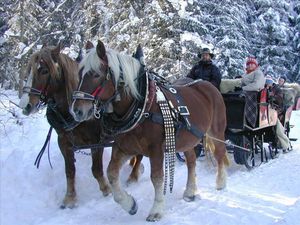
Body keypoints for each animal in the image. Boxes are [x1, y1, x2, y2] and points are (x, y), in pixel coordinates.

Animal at [18, 43, 143, 209]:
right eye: (29, 71)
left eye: (44, 71)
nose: (24, 105)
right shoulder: (64, 142)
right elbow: (70, 171)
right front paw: (70, 198)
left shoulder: (96, 142)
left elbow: (96, 170)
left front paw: (106, 190)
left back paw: (133, 176)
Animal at [71, 40, 230, 221]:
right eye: (80, 74)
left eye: (96, 74)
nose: (77, 111)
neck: (144, 106)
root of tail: (207, 85)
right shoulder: (124, 148)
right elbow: (111, 173)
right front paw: (129, 204)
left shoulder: (156, 150)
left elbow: (157, 178)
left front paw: (157, 209)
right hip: (187, 139)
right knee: (191, 161)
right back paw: (190, 191)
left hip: (216, 132)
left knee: (219, 154)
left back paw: (221, 182)